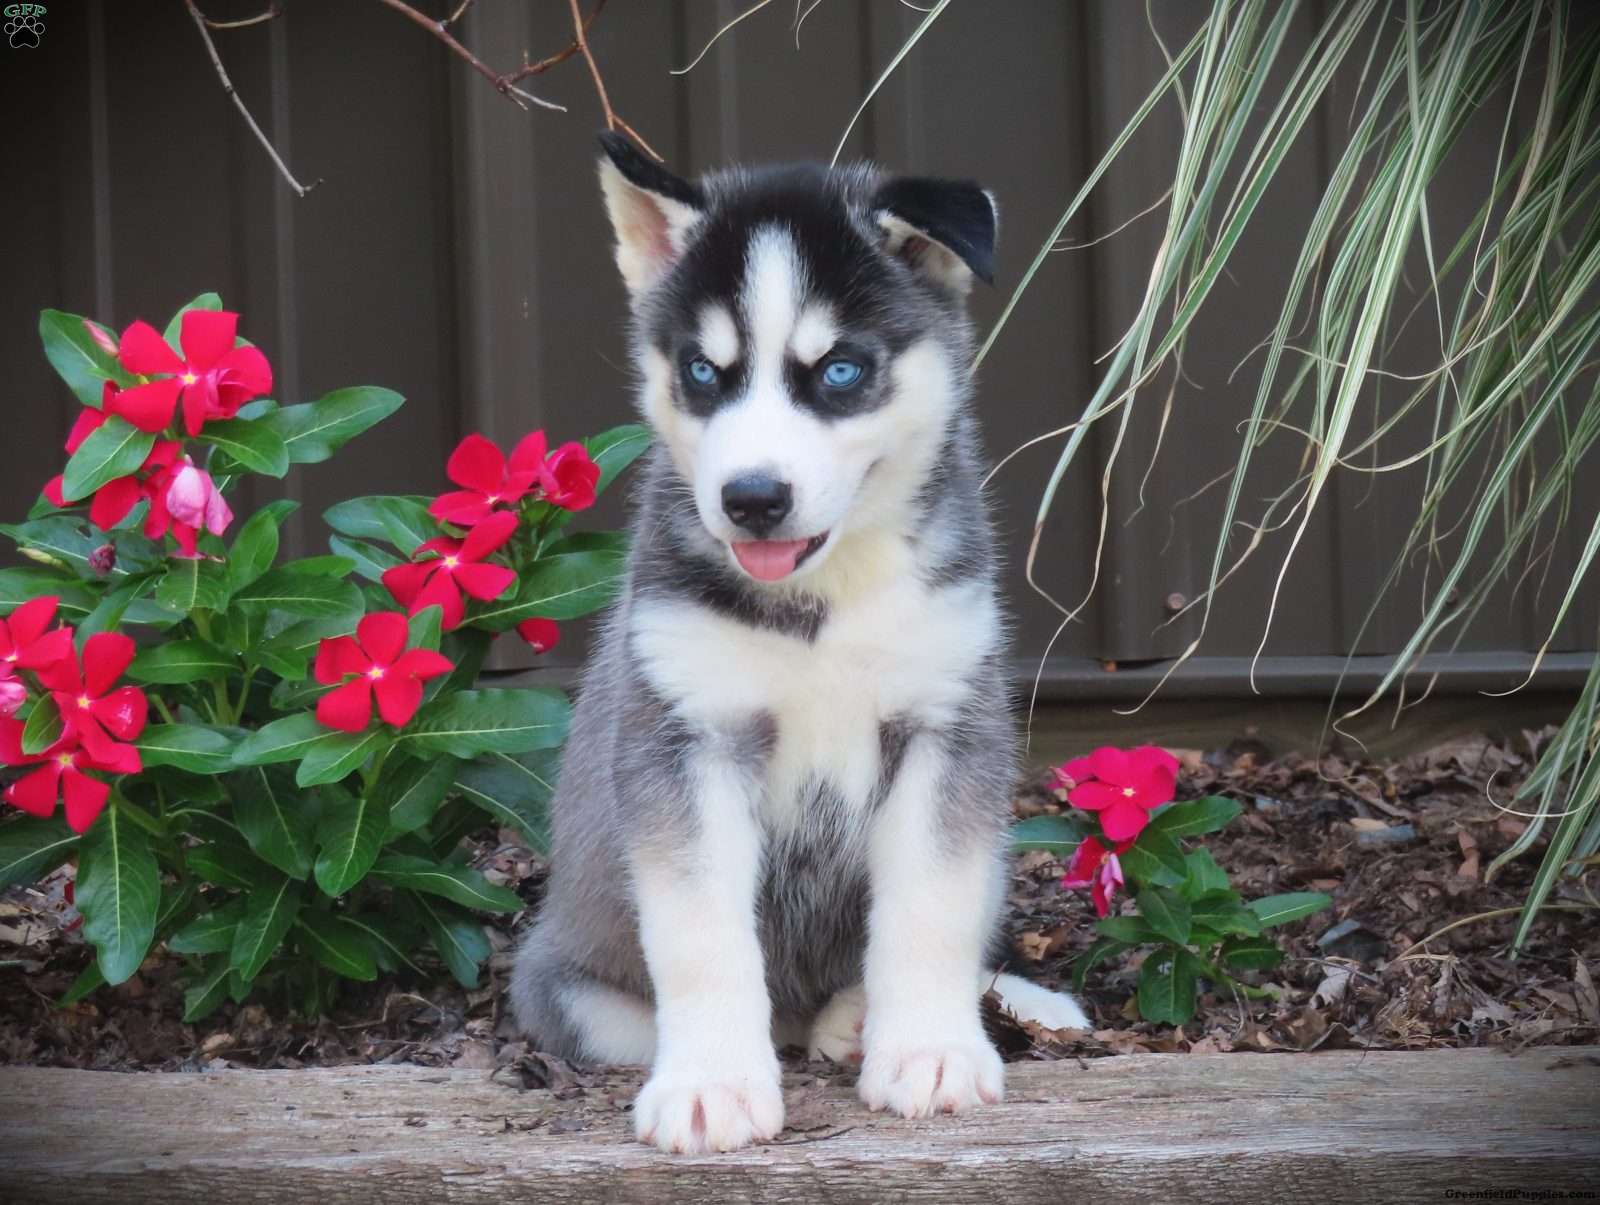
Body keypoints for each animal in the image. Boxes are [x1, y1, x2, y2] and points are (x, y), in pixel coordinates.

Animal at [512, 133, 1088, 1158]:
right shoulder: (686, 740)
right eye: (704, 373)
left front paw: (931, 1050)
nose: (750, 498)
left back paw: (876, 1018)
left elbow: (930, 907)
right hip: (570, 989)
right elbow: (702, 935)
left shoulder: (945, 726)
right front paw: (710, 1084)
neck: (823, 601)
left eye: (842, 371)